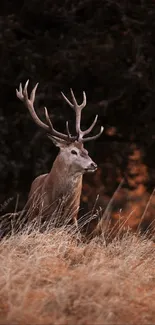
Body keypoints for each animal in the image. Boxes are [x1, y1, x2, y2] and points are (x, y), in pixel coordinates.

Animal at [16, 80, 103, 228]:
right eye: (73, 151)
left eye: (86, 151)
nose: (93, 164)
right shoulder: (41, 215)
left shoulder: (73, 217)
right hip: (30, 213)